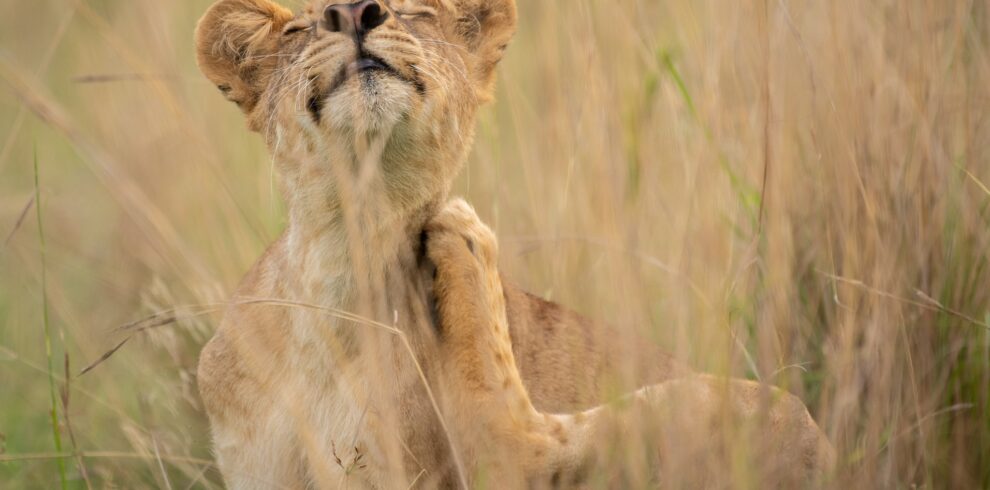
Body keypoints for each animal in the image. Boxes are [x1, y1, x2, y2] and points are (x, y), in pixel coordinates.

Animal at [192, 0, 833, 488]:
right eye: (297, 30)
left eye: (414, 11)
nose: (353, 12)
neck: (349, 247)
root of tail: (827, 452)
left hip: (752, 406)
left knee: (515, 442)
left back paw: (466, 239)